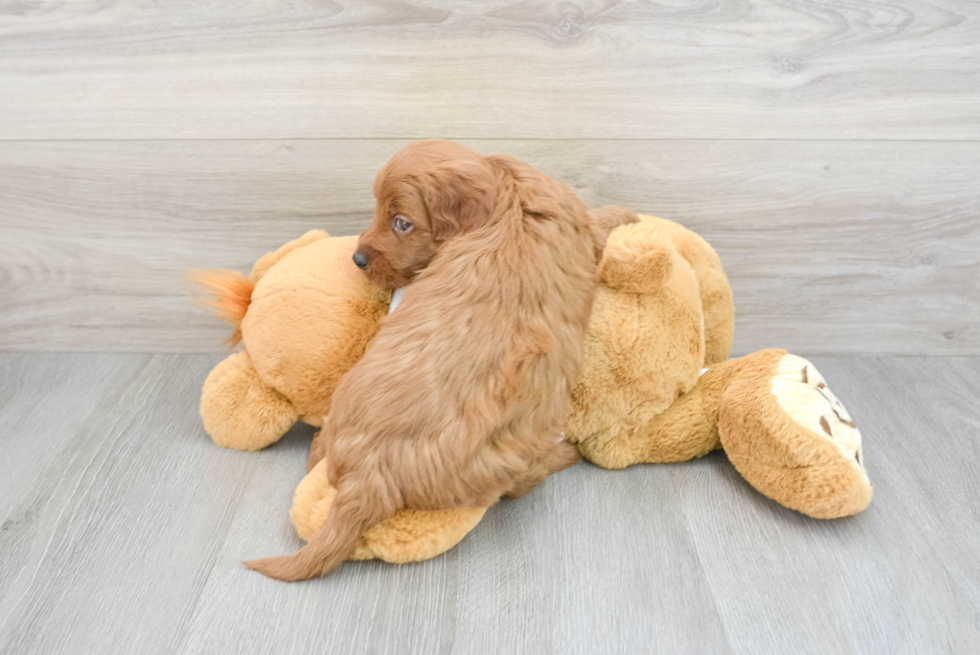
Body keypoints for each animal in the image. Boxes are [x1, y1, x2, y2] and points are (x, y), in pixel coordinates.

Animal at [245, 140, 596, 580]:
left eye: (402, 222)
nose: (357, 260)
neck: (506, 193)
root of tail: (371, 474)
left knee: (318, 453)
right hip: (512, 454)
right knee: (520, 483)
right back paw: (569, 453)